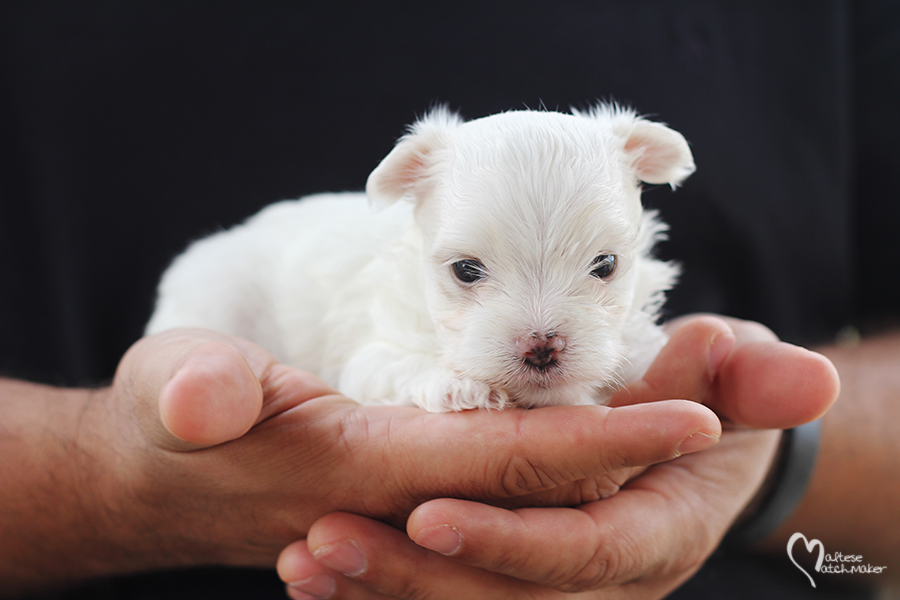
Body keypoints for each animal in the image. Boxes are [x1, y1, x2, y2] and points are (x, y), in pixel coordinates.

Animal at [148, 104, 696, 412]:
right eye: (466, 270)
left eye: (606, 266)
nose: (541, 348)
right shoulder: (371, 355)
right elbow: (397, 364)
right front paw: (455, 384)